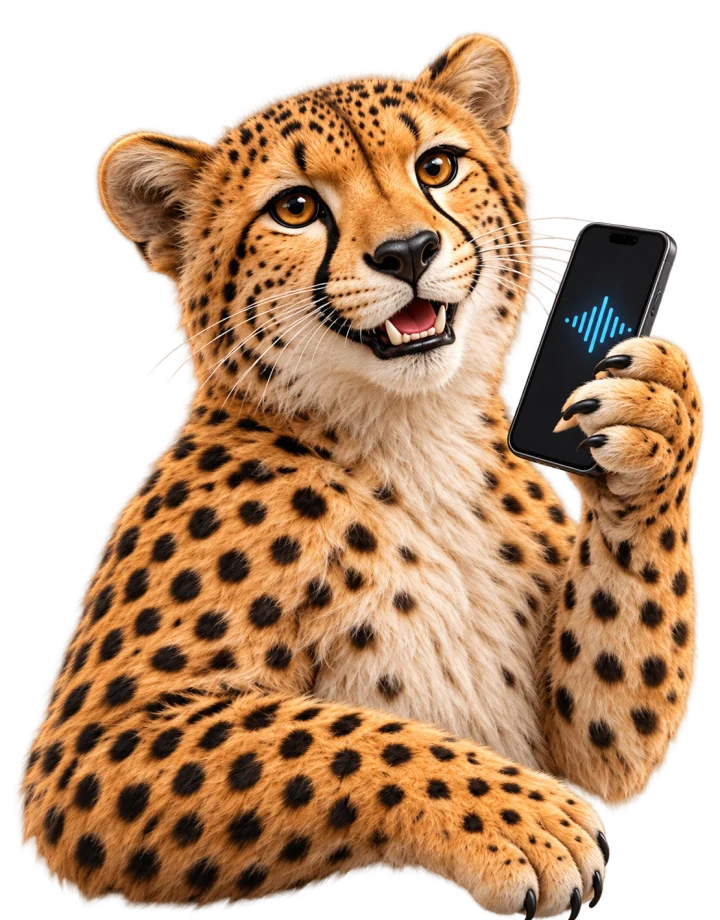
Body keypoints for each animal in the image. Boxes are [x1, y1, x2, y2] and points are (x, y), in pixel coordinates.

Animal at [13, 28, 703, 920]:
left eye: (436, 166)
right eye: (295, 208)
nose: (408, 251)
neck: (417, 435)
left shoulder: (583, 739)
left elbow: (617, 713)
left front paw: (660, 413)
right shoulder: (85, 748)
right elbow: (341, 737)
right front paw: (523, 821)